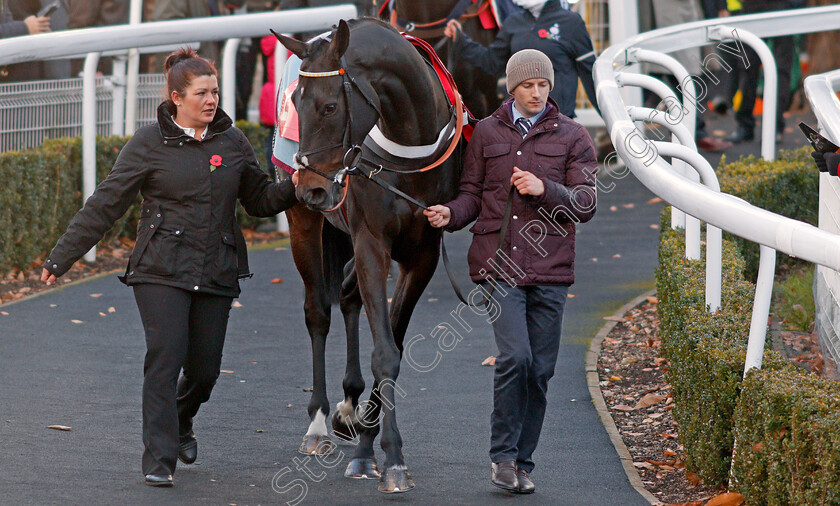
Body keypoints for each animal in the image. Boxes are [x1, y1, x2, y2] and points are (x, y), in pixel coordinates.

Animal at [278, 18, 466, 490]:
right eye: (295, 102)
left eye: (329, 107)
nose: (311, 187)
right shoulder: (371, 242)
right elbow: (384, 350)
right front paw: (387, 455)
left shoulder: (422, 254)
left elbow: (392, 345)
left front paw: (369, 438)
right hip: (304, 223)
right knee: (318, 311)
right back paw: (319, 422)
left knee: (347, 293)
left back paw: (349, 403)